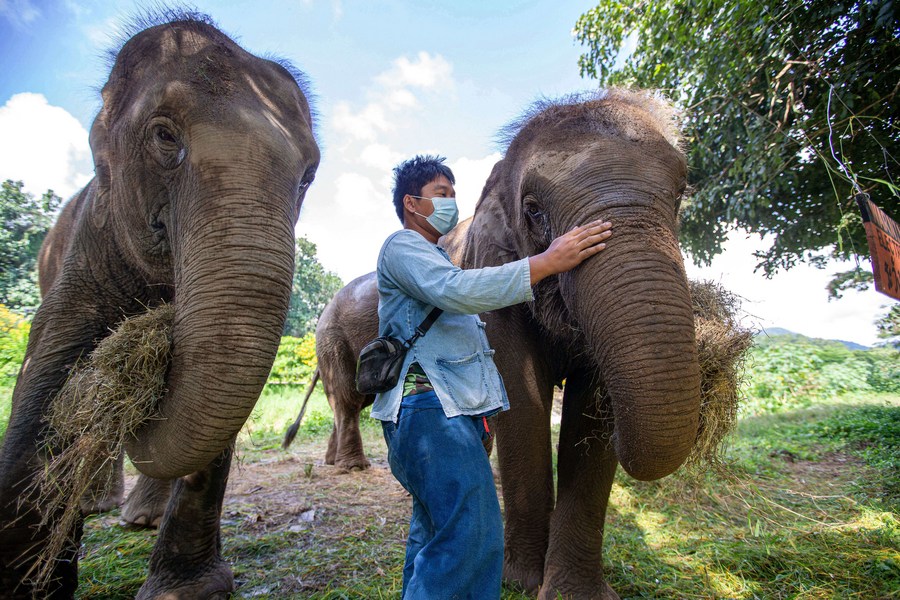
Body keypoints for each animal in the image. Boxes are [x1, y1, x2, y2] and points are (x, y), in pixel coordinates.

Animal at [0, 12, 322, 600]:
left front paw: (190, 592)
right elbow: (47, 369)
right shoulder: (89, 246)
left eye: (308, 173)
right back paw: (101, 507)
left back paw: (135, 517)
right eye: (164, 135)